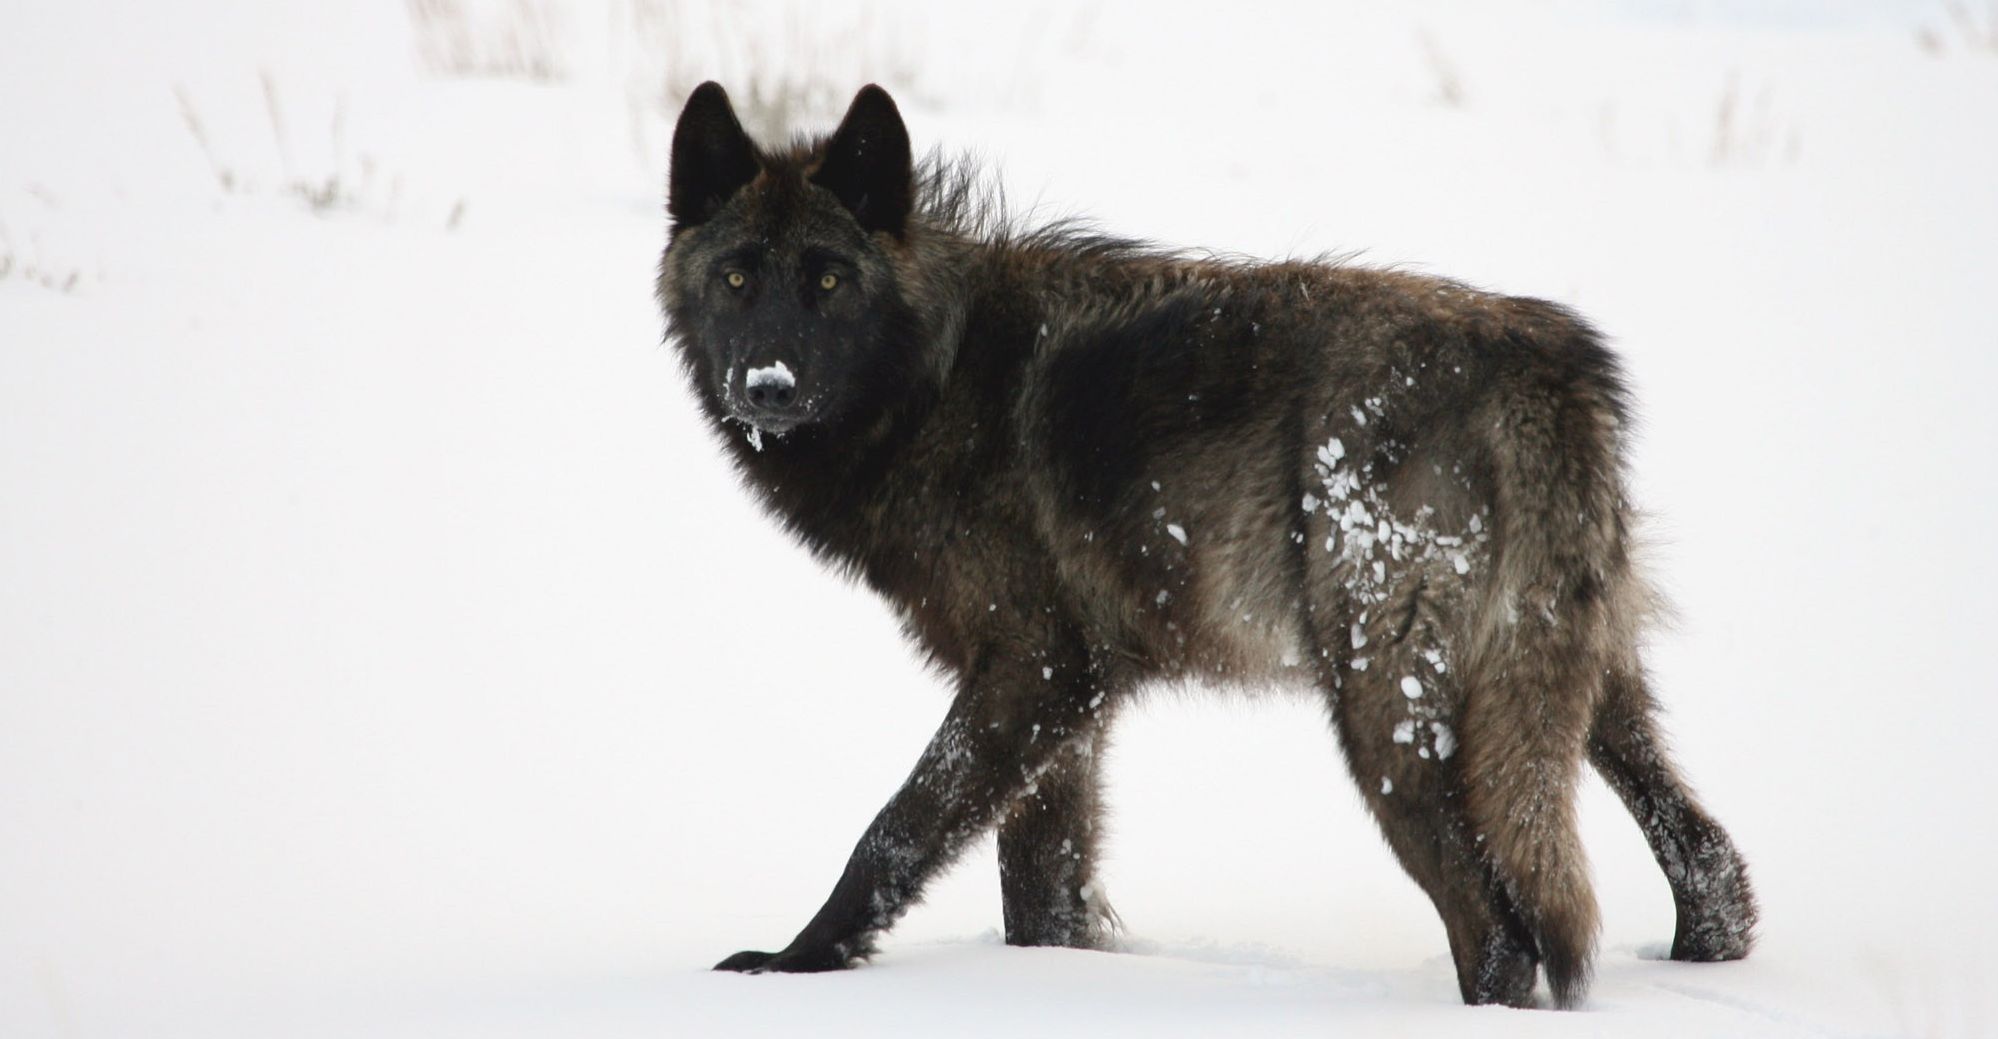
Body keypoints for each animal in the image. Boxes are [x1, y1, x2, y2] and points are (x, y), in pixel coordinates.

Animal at [655, 81, 1756, 1008]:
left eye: (829, 279)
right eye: (738, 276)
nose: (767, 385)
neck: (936, 377)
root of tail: (1543, 364)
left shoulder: (1032, 670)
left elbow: (893, 832)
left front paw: (793, 962)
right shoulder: (1071, 705)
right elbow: (1040, 891)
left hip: (1386, 718)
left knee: (1500, 931)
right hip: (1578, 691)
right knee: (1712, 864)